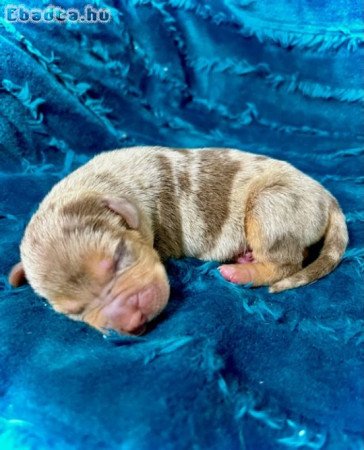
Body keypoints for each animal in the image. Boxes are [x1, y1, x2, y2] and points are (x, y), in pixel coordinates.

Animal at [9, 147, 348, 334]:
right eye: (74, 311)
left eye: (120, 258)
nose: (130, 321)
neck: (102, 184)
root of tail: (327, 198)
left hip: (270, 205)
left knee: (287, 262)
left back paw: (240, 271)